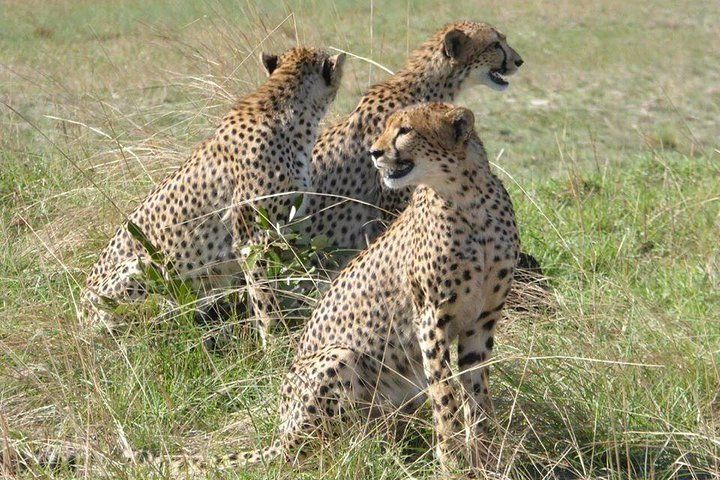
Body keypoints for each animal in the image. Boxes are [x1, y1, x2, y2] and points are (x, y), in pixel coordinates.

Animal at [79, 47, 346, 344]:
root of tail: (79, 315)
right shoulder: (253, 239)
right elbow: (264, 295)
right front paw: (274, 339)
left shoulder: (282, 230)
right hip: (142, 265)